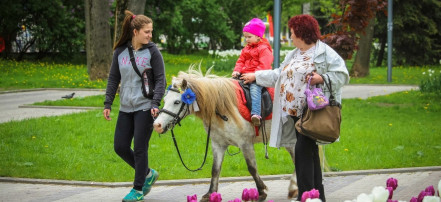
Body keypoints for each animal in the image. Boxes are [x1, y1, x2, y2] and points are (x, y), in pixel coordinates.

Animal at [153, 67, 298, 201]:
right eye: (165, 100)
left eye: (177, 102)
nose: (157, 125)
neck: (221, 107)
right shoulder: (218, 144)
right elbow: (215, 169)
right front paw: (210, 194)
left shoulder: (245, 144)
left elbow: (252, 168)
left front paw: (261, 192)